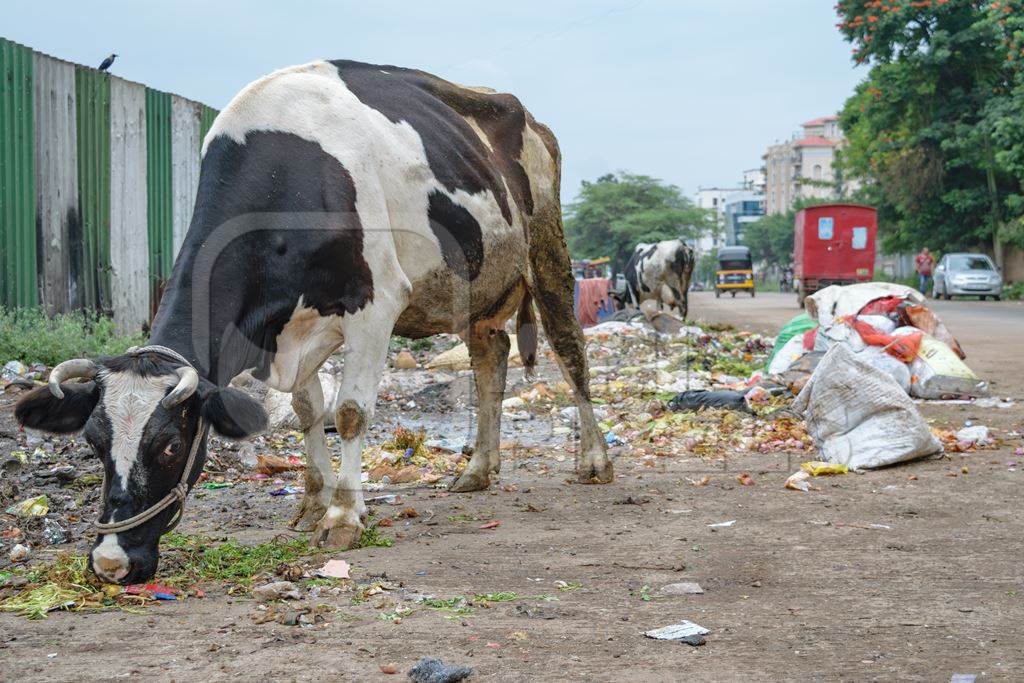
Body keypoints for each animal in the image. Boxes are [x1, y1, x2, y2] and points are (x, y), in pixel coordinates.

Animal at [16, 60, 610, 581]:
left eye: (169, 446)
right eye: (93, 443)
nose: (111, 563)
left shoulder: (376, 303)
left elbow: (348, 413)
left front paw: (344, 516)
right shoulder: (291, 330)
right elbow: (307, 413)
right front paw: (312, 503)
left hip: (547, 249)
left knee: (570, 351)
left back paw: (595, 461)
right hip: (477, 285)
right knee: (491, 357)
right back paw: (477, 470)